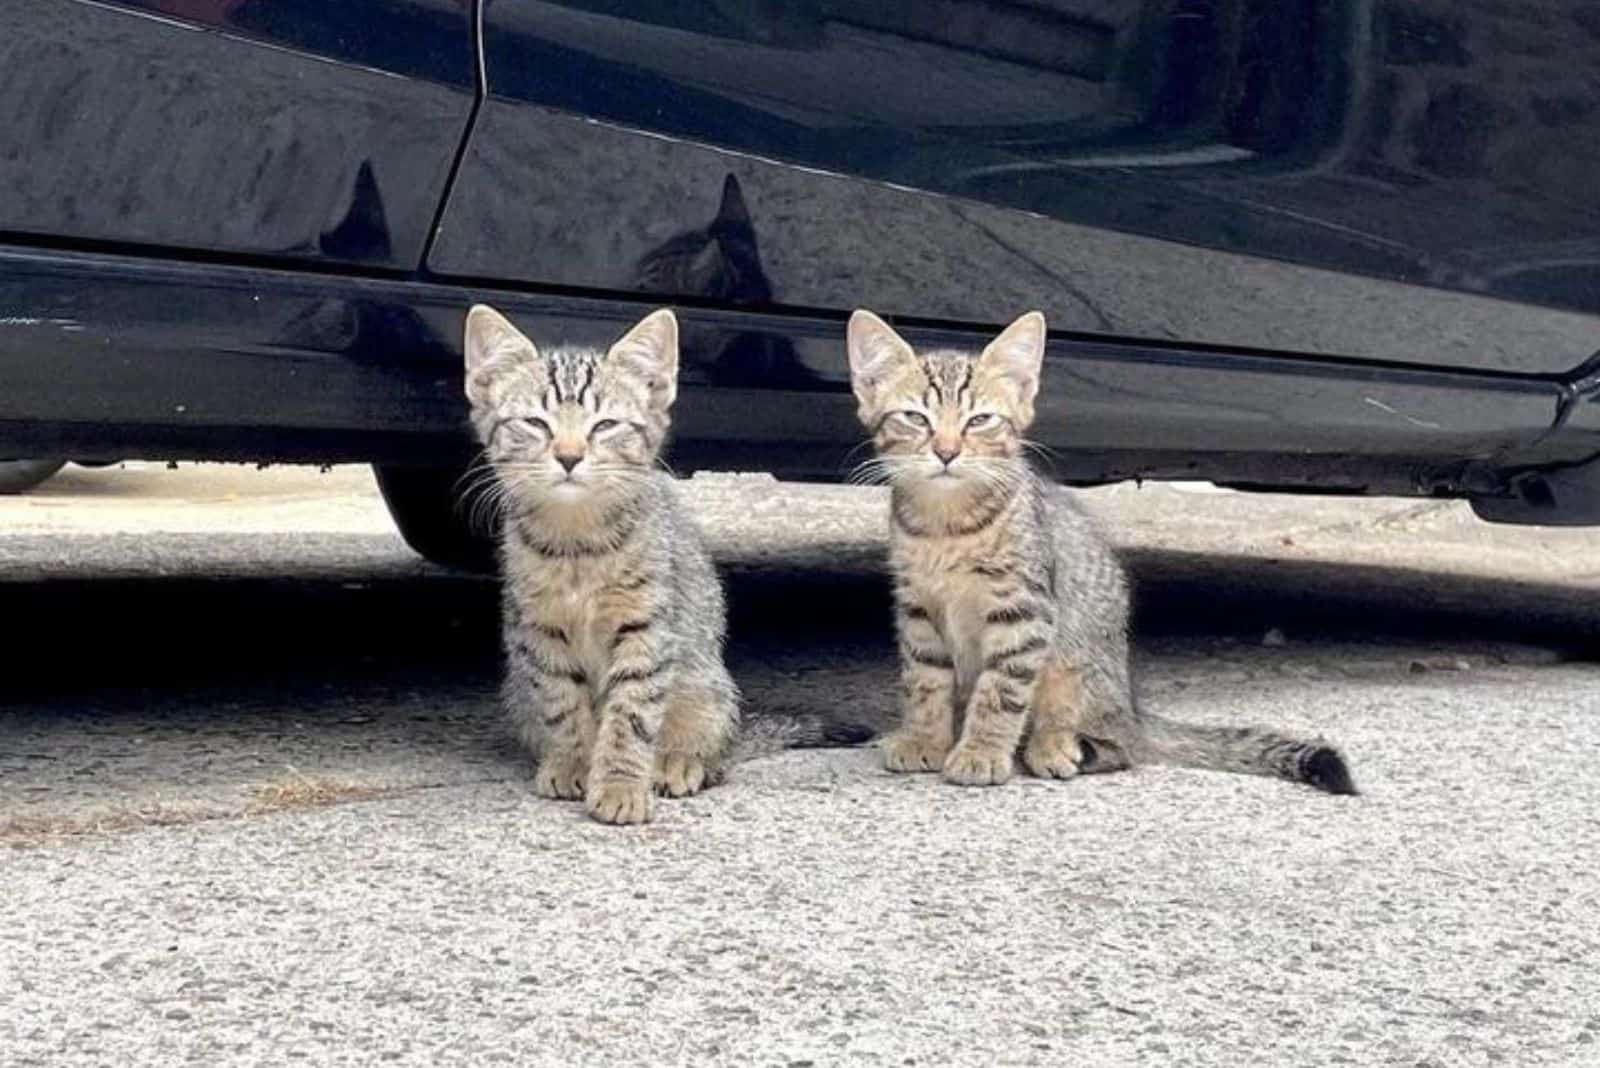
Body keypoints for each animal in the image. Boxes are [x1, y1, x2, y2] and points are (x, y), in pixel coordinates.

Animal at [464, 303, 736, 824]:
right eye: (536, 423)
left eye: (605, 425)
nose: (569, 456)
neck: (578, 547)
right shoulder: (540, 631)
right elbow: (562, 703)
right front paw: (573, 762)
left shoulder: (647, 630)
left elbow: (631, 715)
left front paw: (620, 785)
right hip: (518, 693)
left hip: (706, 684)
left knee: (714, 739)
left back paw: (678, 761)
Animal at [844, 308, 1356, 793]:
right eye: (915, 418)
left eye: (980, 420)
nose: (947, 451)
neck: (946, 523)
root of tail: (1131, 708)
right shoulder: (917, 611)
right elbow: (925, 683)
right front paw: (925, 739)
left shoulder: (1024, 612)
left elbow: (1001, 691)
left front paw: (982, 753)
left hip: (1075, 669)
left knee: (1117, 747)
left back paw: (1055, 746)